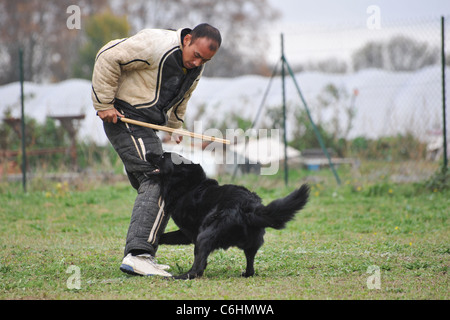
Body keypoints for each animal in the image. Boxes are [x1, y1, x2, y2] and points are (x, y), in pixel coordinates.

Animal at [148, 151, 310, 278]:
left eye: (162, 156)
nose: (148, 152)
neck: (187, 187)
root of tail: (249, 205)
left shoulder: (189, 233)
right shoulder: (186, 234)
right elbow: (164, 237)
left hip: (204, 236)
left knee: (197, 269)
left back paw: (181, 276)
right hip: (251, 244)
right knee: (250, 267)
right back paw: (246, 274)